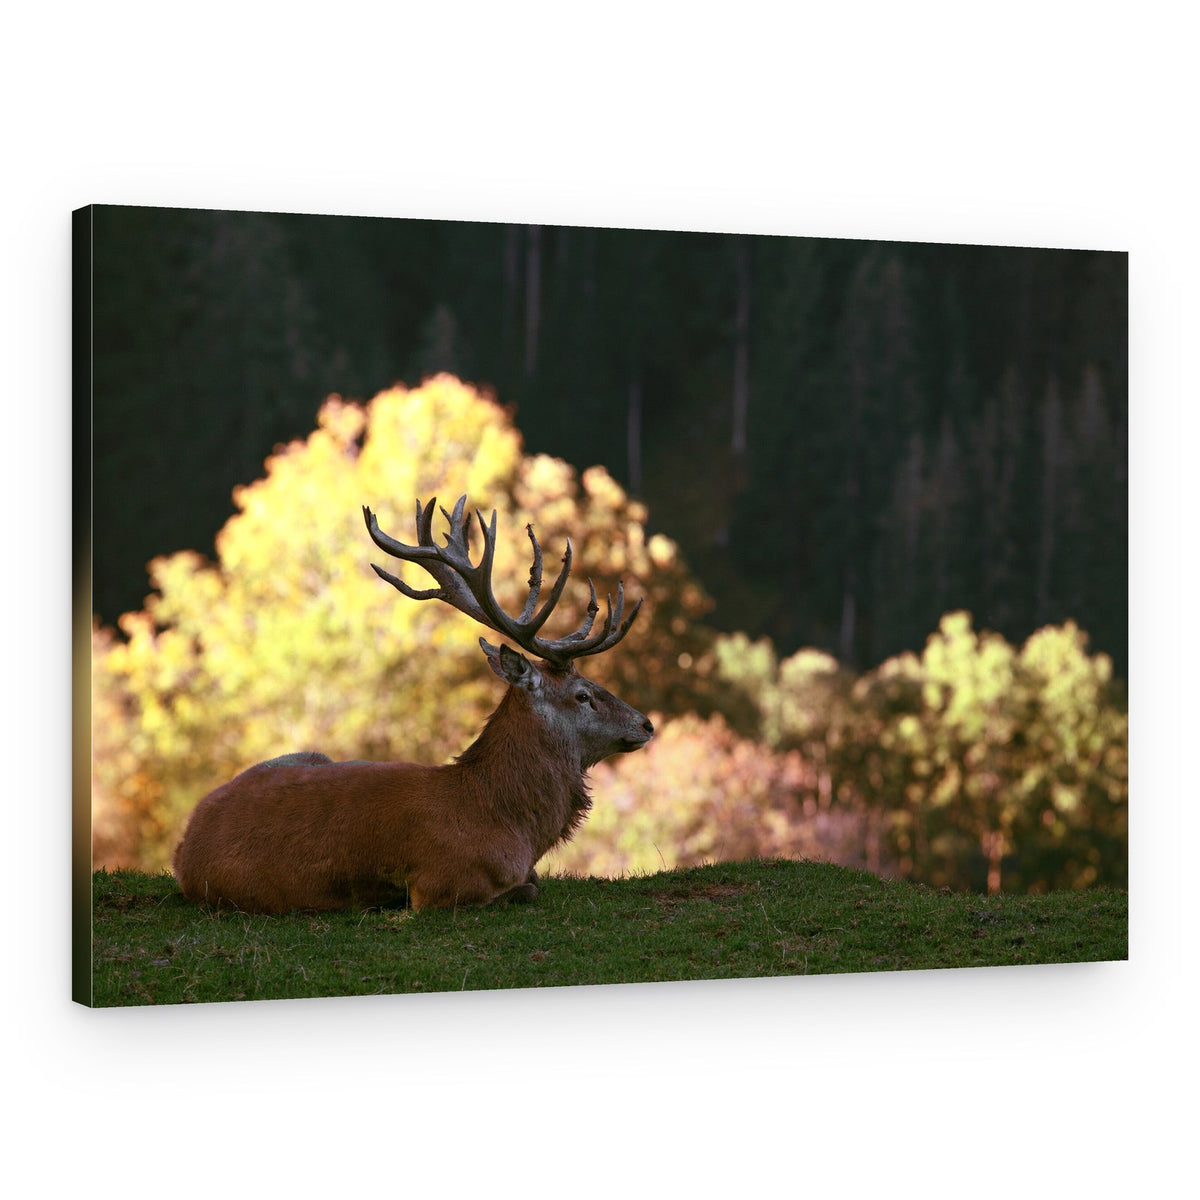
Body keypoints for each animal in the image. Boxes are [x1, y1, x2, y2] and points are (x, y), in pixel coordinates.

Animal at [171, 495, 654, 913]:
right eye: (583, 695)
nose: (646, 724)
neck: (500, 820)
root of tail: (184, 844)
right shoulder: (442, 885)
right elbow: (528, 887)